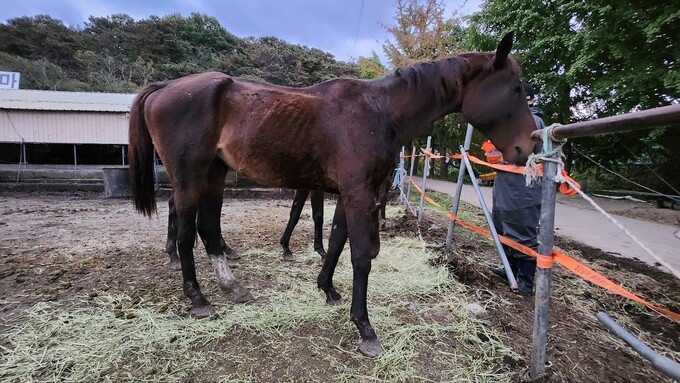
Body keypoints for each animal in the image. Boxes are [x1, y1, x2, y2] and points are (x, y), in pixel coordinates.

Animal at [129, 32, 536, 356]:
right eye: (516, 89)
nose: (527, 147)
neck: (378, 111)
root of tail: (162, 88)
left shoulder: (349, 194)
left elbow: (337, 241)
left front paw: (327, 289)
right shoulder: (357, 194)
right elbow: (360, 257)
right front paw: (365, 328)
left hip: (214, 174)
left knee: (209, 230)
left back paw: (232, 286)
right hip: (189, 178)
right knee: (186, 233)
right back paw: (198, 298)